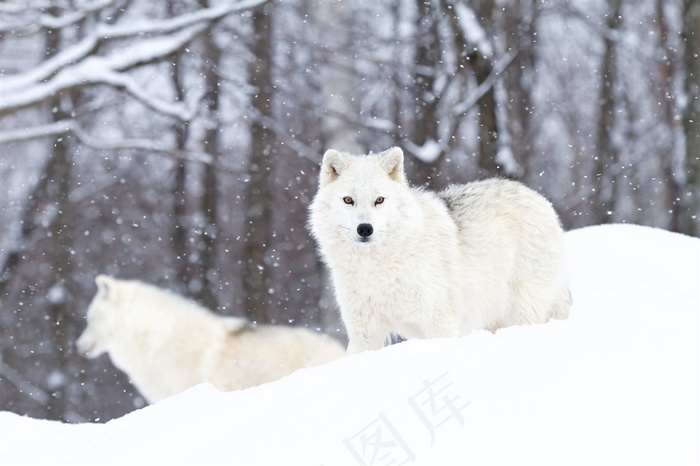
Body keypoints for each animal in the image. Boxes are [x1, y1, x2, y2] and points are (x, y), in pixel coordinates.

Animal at [308, 146, 572, 354]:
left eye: (379, 200)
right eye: (348, 200)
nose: (365, 229)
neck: (376, 267)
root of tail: (540, 199)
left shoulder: (439, 323)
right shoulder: (364, 333)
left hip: (521, 311)